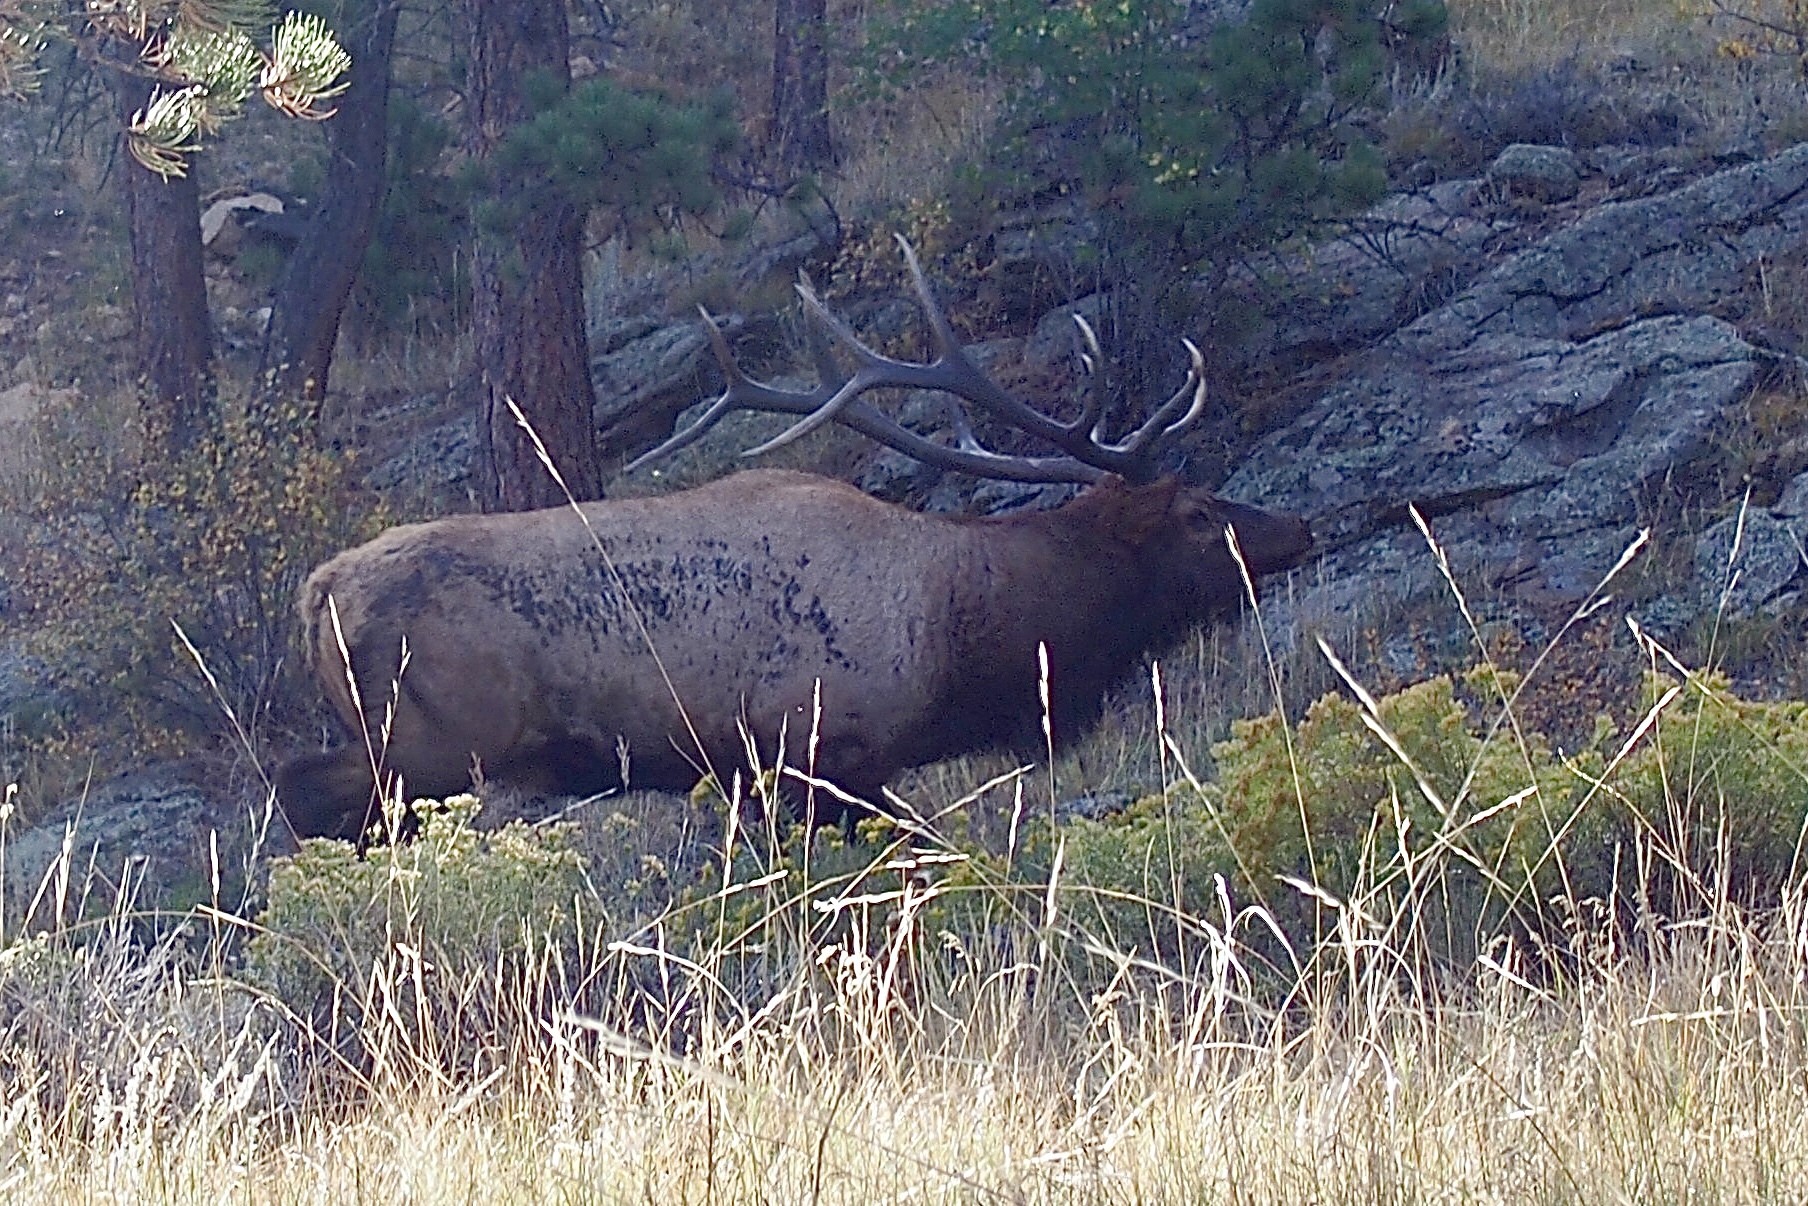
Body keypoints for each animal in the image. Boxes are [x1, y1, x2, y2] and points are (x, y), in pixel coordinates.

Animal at [276, 239, 1314, 840]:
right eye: (1200, 512)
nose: (1298, 527)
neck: (959, 635)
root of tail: (316, 589)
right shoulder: (821, 752)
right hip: (428, 745)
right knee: (305, 795)